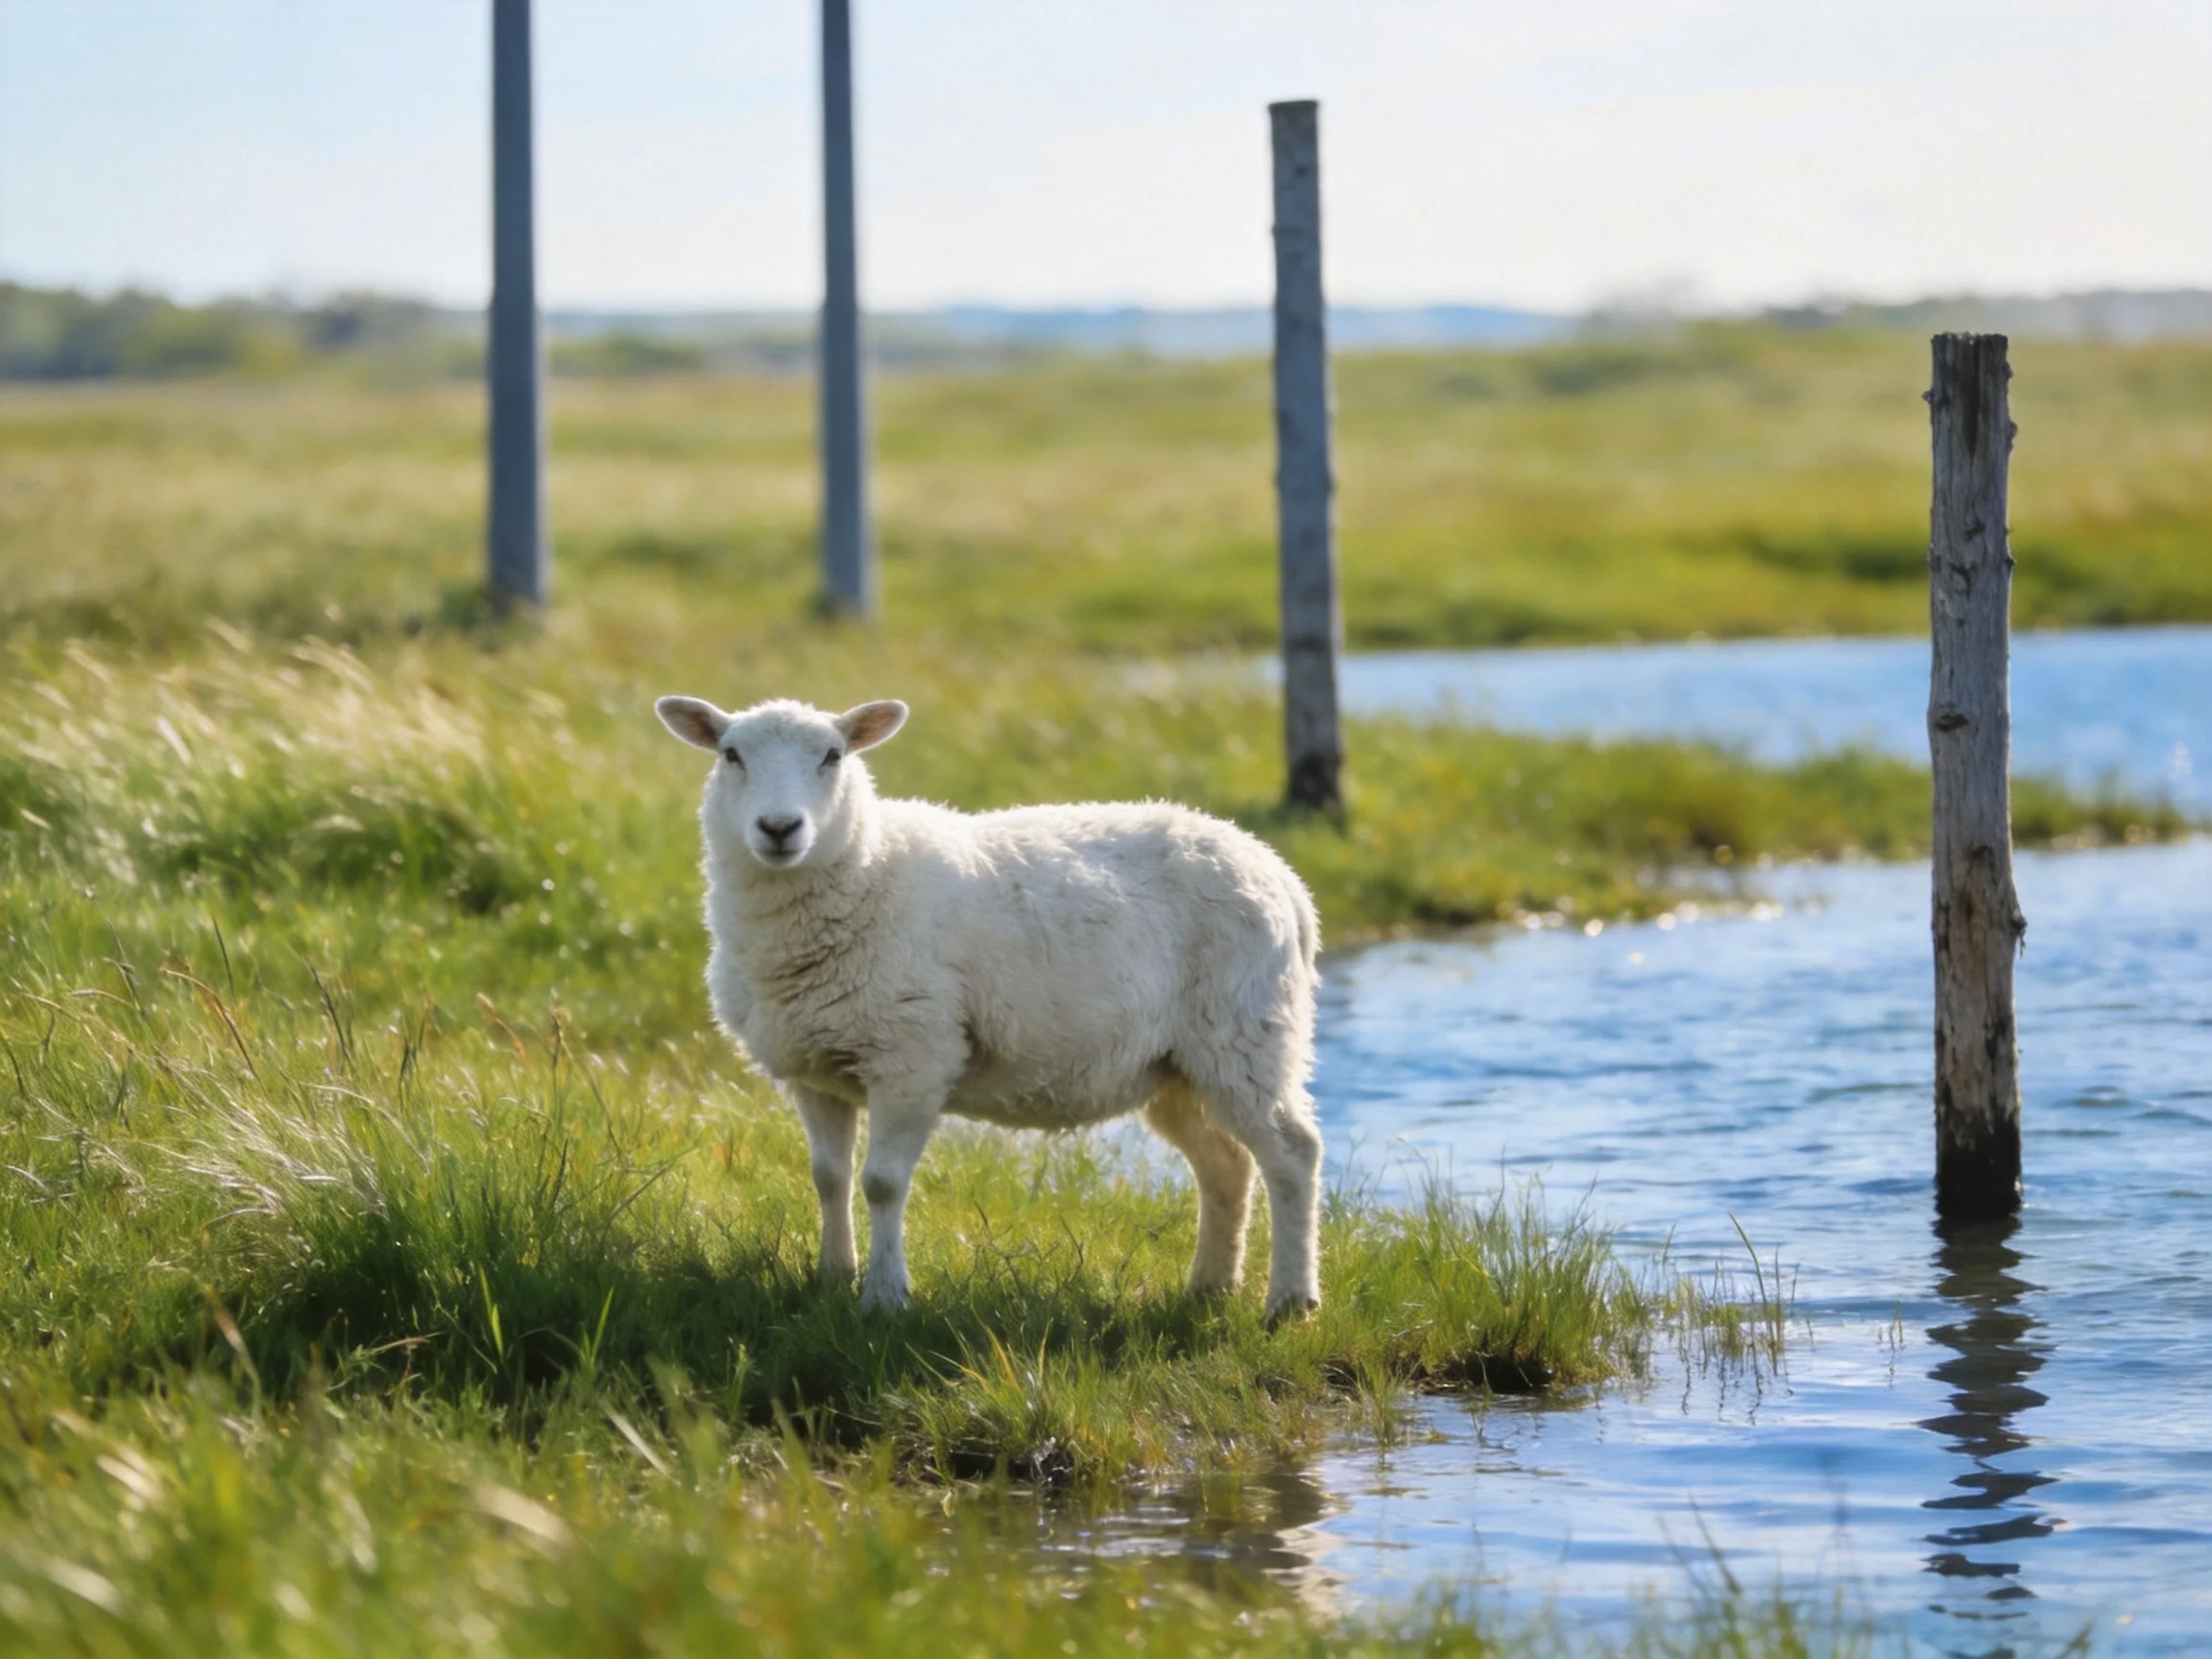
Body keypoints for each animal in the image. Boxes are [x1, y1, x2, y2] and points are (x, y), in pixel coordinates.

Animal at [654, 694, 1325, 1321]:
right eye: (731, 755)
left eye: (833, 756)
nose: (779, 828)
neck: (866, 871)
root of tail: (1283, 876)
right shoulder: (814, 1066)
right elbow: (829, 1178)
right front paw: (832, 1279)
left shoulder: (913, 1055)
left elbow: (881, 1183)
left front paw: (884, 1298)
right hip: (1177, 1066)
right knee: (1226, 1165)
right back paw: (1210, 1287)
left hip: (1245, 1033)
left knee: (1292, 1154)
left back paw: (1290, 1301)